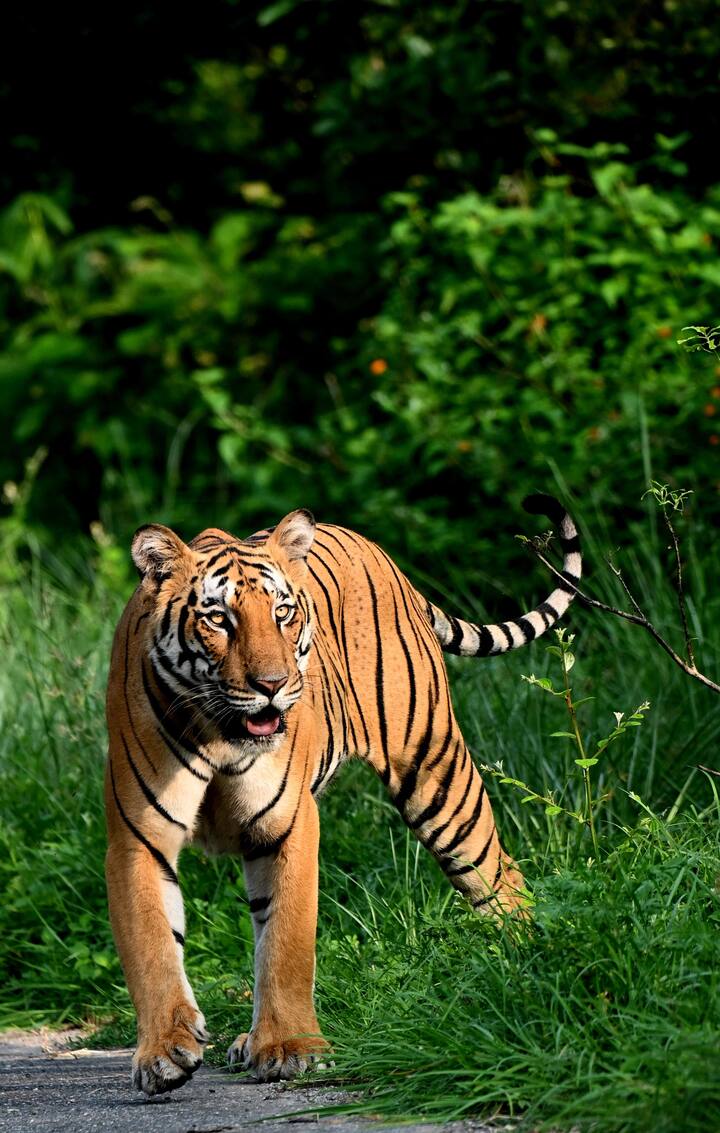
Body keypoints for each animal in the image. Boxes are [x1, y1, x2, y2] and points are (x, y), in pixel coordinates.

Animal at [105, 491, 580, 1092]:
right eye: (218, 618)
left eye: (282, 613)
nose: (272, 685)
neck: (218, 732)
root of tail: (381, 552)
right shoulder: (137, 836)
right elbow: (152, 945)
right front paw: (165, 1052)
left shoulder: (288, 823)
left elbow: (287, 942)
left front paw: (292, 1049)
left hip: (439, 775)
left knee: (501, 881)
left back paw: (530, 971)